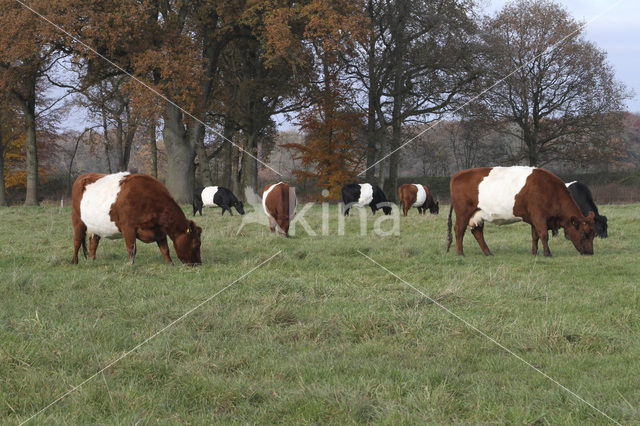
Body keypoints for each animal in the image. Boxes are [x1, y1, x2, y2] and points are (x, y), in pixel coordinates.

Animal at [69, 171, 201, 264]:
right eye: (196, 243)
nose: (198, 263)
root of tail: (84, 176)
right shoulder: (128, 228)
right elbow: (132, 249)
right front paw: (131, 265)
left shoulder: (159, 230)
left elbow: (165, 249)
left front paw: (170, 264)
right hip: (77, 221)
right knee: (77, 241)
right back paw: (74, 261)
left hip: (96, 226)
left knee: (94, 242)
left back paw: (92, 260)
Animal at [444, 166, 596, 256]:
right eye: (584, 234)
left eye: (593, 234)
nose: (590, 253)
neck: (551, 190)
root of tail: (458, 174)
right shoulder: (539, 216)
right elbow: (543, 235)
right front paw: (547, 254)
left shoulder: (534, 219)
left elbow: (535, 236)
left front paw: (535, 253)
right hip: (463, 213)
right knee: (459, 230)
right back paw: (460, 253)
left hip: (477, 214)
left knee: (477, 232)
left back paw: (488, 253)